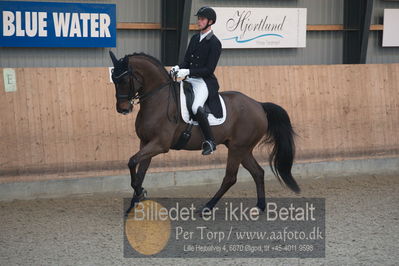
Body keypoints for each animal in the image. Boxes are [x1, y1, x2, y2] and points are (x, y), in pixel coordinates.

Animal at [109, 51, 300, 214]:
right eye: (114, 80)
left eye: (124, 80)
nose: (122, 109)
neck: (158, 100)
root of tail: (259, 105)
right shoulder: (146, 142)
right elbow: (139, 170)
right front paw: (136, 200)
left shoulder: (159, 145)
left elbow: (132, 162)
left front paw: (139, 193)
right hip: (243, 149)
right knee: (258, 172)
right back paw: (259, 207)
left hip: (238, 148)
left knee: (230, 177)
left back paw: (207, 207)